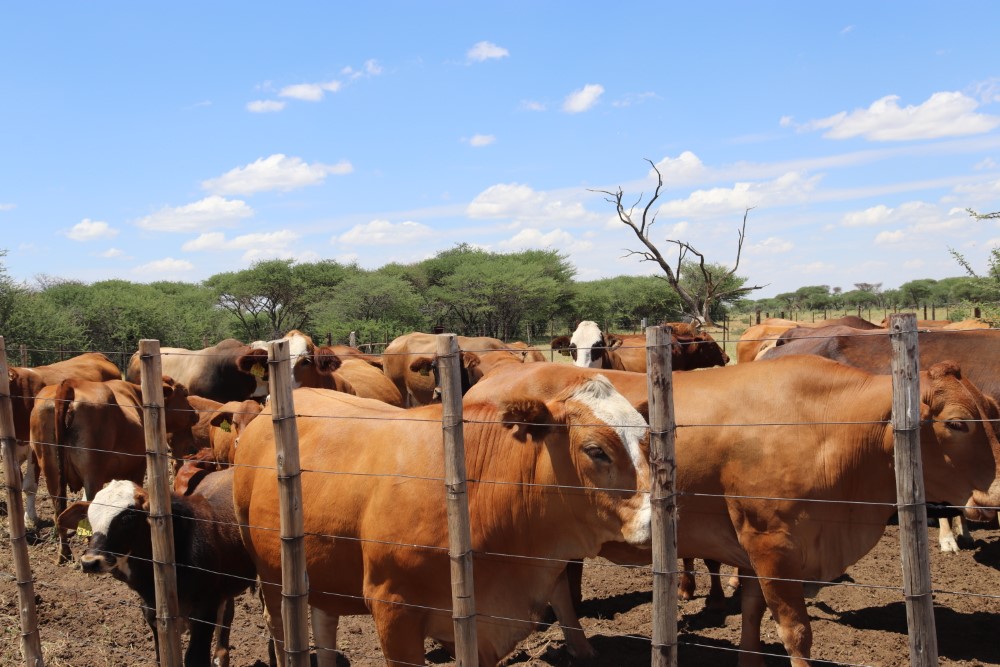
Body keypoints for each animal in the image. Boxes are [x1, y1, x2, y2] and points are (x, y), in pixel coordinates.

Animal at [30, 377, 198, 562]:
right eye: (184, 393)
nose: (195, 413)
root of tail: (71, 383)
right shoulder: (138, 466)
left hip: (51, 472)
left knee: (59, 511)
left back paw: (64, 554)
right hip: (92, 474)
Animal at [57, 469, 257, 667]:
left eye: (128, 517)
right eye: (90, 517)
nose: (90, 562)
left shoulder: (204, 613)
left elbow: (194, 659)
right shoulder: (152, 615)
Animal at [233, 364, 651, 666]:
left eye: (646, 438)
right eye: (595, 450)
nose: (652, 523)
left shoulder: (481, 627)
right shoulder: (393, 611)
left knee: (324, 623)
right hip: (271, 574)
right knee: (281, 628)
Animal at [467, 356, 1000, 665]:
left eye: (992, 411)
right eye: (957, 422)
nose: (993, 501)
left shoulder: (754, 549)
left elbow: (751, 612)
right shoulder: (773, 545)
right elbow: (795, 631)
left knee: (558, 583)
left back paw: (582, 647)